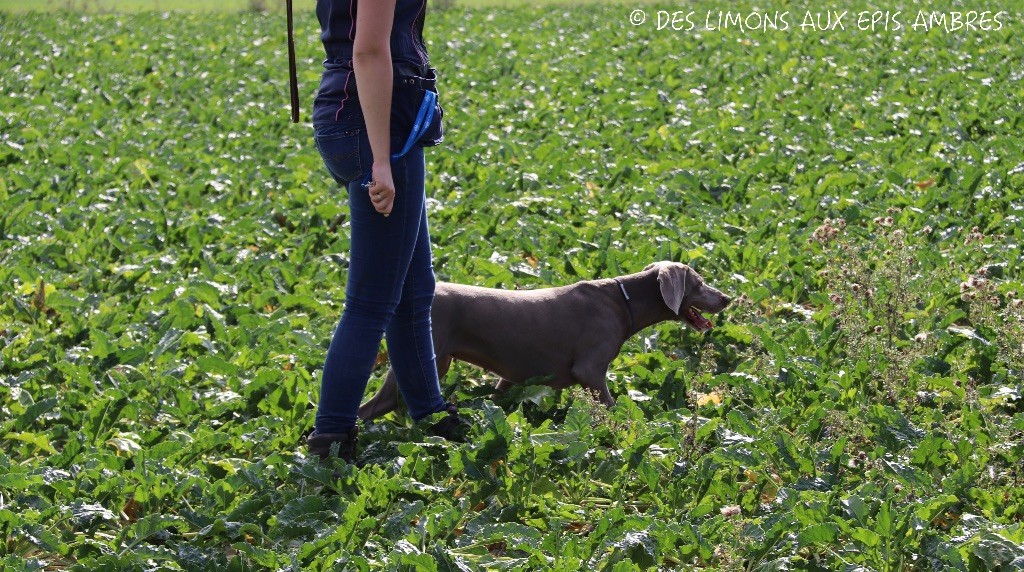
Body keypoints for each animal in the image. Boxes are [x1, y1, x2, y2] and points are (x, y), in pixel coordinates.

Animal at [358, 260, 729, 421]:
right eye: (699, 282)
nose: (727, 298)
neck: (622, 299)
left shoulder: (510, 379)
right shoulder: (590, 371)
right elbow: (610, 408)